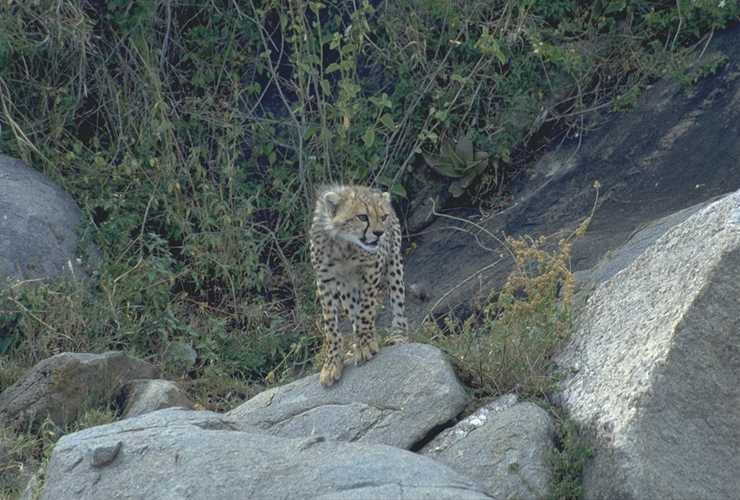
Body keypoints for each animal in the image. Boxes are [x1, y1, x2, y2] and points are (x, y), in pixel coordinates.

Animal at [309, 184, 407, 386]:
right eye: (362, 217)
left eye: (383, 217)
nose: (379, 233)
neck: (343, 244)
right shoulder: (325, 280)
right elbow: (331, 326)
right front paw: (332, 362)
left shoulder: (373, 267)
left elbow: (366, 309)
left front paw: (366, 344)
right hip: (346, 288)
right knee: (353, 310)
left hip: (394, 262)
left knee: (398, 303)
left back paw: (398, 335)